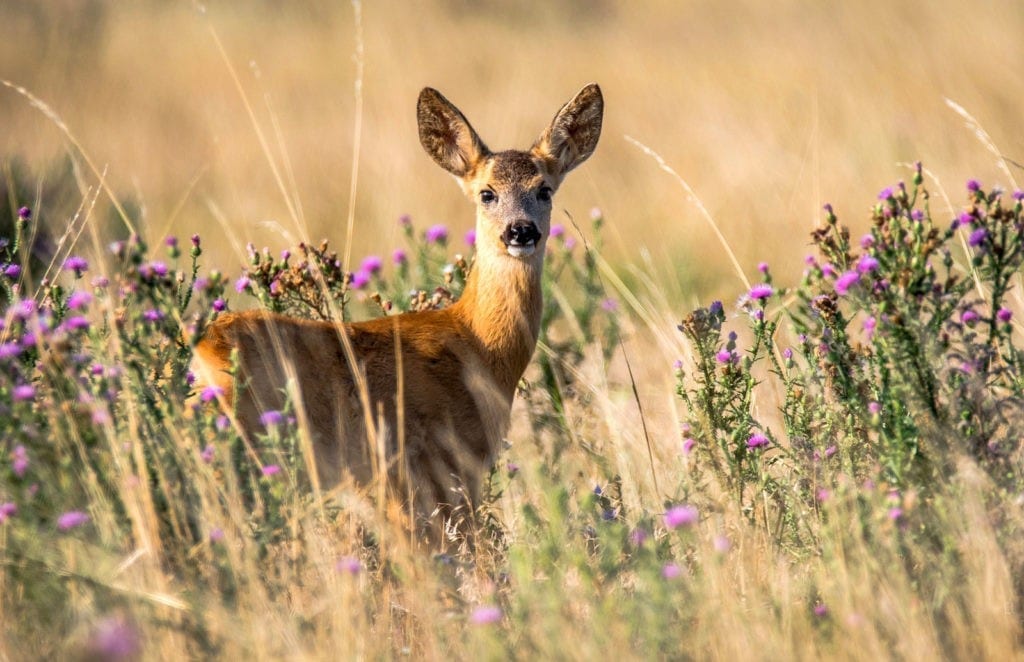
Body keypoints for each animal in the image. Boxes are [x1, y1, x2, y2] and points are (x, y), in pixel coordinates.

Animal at [190, 83, 598, 545]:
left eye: (545, 189)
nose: (521, 231)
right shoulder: (438, 465)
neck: (478, 346)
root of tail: (202, 351)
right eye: (487, 193)